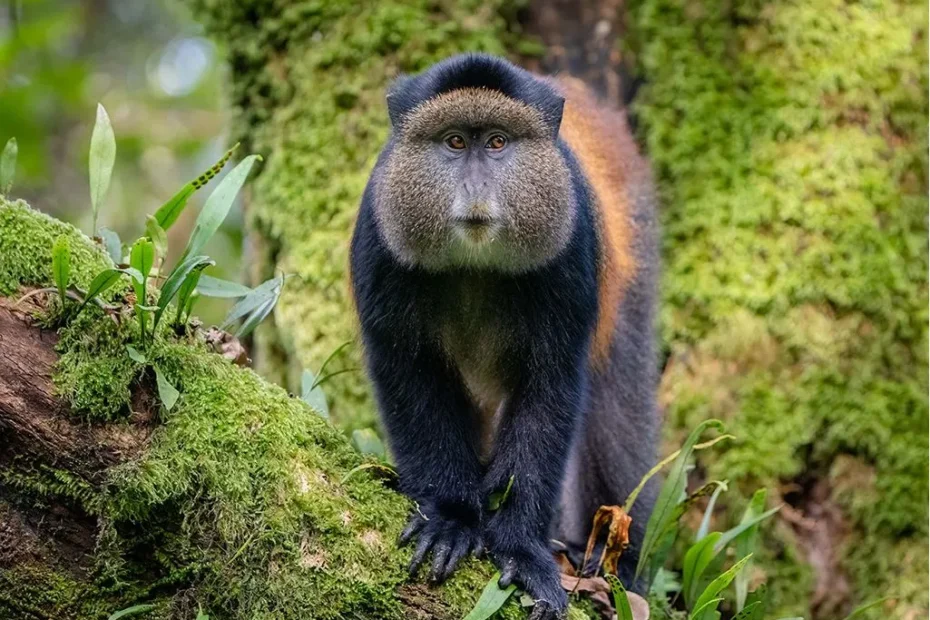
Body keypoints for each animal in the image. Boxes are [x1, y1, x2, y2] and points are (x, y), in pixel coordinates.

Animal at [349, 53, 659, 619]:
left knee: (617, 409)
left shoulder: (571, 250)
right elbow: (408, 376)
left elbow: (550, 389)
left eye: (496, 142)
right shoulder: (379, 243)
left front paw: (522, 550)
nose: (476, 187)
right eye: (454, 142)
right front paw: (450, 519)